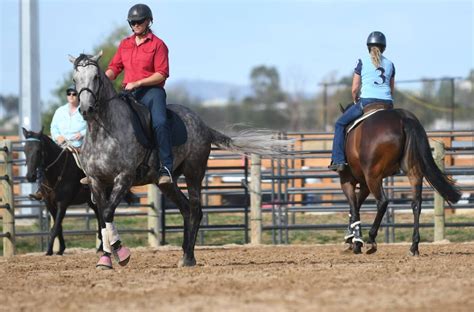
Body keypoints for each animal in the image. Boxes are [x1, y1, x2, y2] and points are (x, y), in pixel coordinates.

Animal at [67, 52, 288, 270]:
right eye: (75, 79)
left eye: (96, 77)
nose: (86, 109)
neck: (104, 132)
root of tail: (204, 125)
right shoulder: (96, 182)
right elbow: (102, 218)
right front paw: (105, 259)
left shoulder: (124, 178)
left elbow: (107, 213)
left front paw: (121, 252)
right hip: (166, 183)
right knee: (185, 209)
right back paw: (184, 253)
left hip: (194, 173)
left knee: (196, 210)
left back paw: (189, 257)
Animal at [338, 106, 462, 255]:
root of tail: (403, 118)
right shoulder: (363, 184)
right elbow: (355, 206)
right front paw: (352, 239)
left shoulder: (348, 181)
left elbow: (354, 207)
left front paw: (355, 242)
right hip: (413, 172)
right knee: (416, 203)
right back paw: (414, 246)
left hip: (373, 177)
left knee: (382, 202)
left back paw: (371, 240)